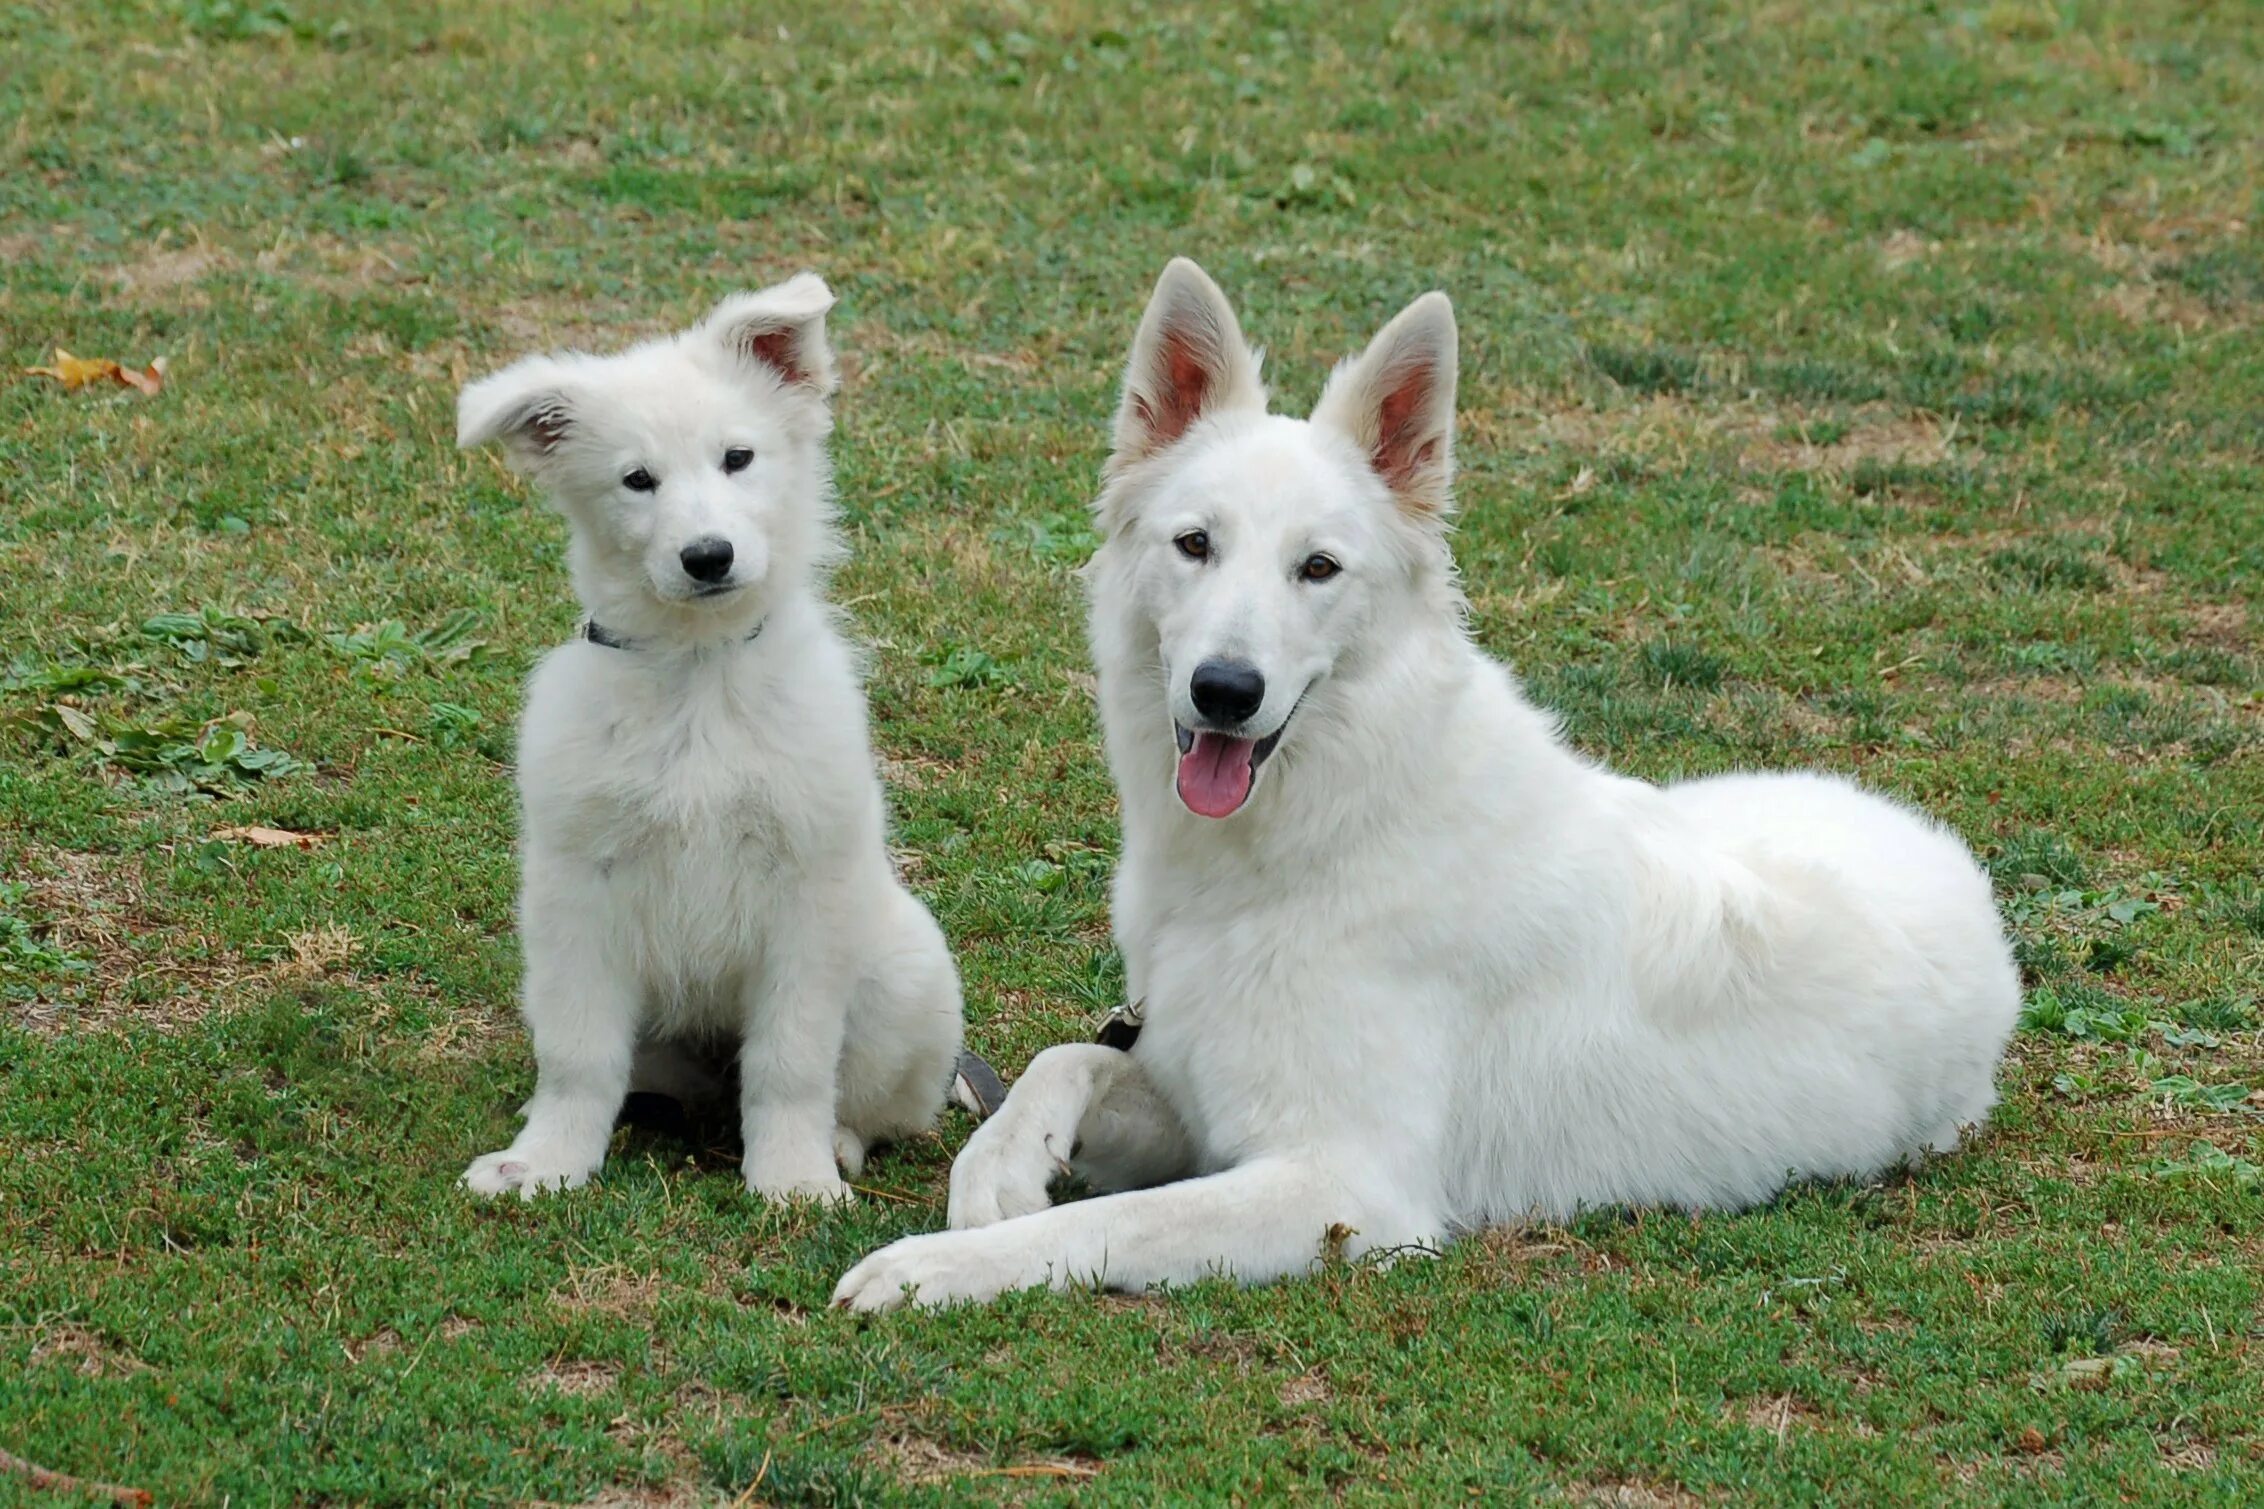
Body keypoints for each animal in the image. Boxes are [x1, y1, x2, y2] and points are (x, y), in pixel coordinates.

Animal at [455, 277, 959, 1203]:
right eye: (637, 480)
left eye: (738, 458)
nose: (707, 556)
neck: (698, 673)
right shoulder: (575, 891)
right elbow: (578, 1054)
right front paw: (547, 1160)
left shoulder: (807, 895)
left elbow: (792, 1060)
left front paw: (792, 1179)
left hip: (901, 979)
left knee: (876, 1106)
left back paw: (836, 1145)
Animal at [842, 260, 2028, 1312]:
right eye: (1194, 544)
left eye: (1318, 568)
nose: (1225, 691)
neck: (1322, 834)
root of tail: (1951, 865)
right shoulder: (1189, 1085)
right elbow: (1070, 1053)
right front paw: (999, 1164)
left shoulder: (1344, 1185)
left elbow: (1102, 1223)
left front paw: (928, 1269)